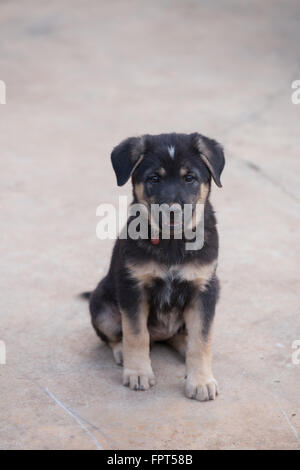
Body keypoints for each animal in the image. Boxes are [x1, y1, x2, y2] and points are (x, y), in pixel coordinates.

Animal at [88, 131, 224, 400]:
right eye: (154, 178)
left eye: (189, 178)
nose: (172, 212)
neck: (172, 242)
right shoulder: (133, 287)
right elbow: (136, 334)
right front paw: (138, 373)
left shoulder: (205, 288)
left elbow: (202, 339)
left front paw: (201, 381)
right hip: (100, 305)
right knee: (117, 335)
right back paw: (122, 352)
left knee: (182, 336)